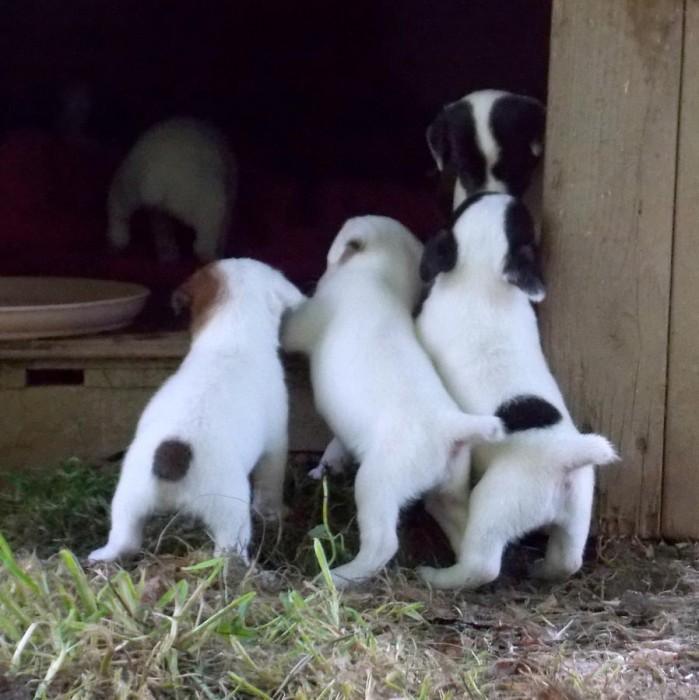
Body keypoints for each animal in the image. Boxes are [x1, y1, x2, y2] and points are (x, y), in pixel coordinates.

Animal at [87, 258, 304, 564]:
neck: (231, 336)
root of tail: (172, 456)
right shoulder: (275, 445)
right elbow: (270, 485)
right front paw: (275, 512)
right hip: (229, 512)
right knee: (229, 550)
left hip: (129, 501)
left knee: (124, 540)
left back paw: (101, 555)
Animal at [282, 213, 506, 584]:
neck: (380, 278)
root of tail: (452, 427)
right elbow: (336, 445)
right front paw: (324, 467)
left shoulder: (306, 322)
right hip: (449, 492)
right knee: (476, 554)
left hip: (378, 483)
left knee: (382, 545)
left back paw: (338, 576)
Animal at [416, 193, 616, 592]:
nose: (509, 193)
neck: (481, 279)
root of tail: (563, 459)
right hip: (577, 510)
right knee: (567, 559)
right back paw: (541, 570)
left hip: (496, 502)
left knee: (482, 565)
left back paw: (438, 577)